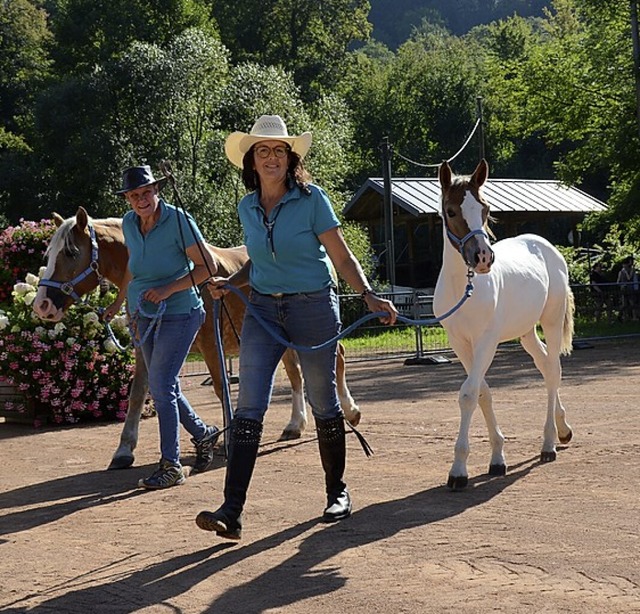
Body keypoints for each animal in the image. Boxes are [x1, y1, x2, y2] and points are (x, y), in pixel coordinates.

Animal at [33, 208, 360, 472]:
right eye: (48, 255)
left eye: (71, 252)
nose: (42, 305)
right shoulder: (147, 349)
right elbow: (141, 392)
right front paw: (124, 450)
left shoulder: (211, 346)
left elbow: (219, 388)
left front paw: (227, 440)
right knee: (295, 373)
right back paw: (295, 425)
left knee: (338, 357)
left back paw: (351, 411)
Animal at [436, 161, 576, 494]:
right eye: (451, 211)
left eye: (485, 209)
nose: (482, 257)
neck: (464, 288)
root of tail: (547, 246)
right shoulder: (460, 343)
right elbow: (482, 392)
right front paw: (497, 457)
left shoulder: (486, 342)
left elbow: (469, 394)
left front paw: (458, 470)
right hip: (526, 332)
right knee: (545, 366)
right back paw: (563, 429)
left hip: (551, 321)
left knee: (553, 371)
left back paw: (549, 443)